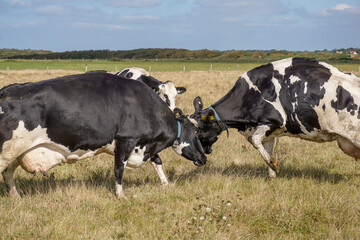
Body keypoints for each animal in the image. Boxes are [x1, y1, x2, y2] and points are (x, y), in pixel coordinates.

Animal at [0, 71, 207, 197]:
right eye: (196, 132)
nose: (204, 157)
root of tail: (8, 89)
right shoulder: (126, 140)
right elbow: (119, 169)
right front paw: (121, 195)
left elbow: (157, 160)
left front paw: (165, 183)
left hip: (16, 152)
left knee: (8, 173)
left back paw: (16, 196)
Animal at [191, 57, 360, 178]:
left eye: (198, 132)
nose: (200, 158)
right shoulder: (269, 133)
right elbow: (264, 149)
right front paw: (272, 176)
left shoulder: (272, 122)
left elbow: (256, 142)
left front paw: (274, 164)